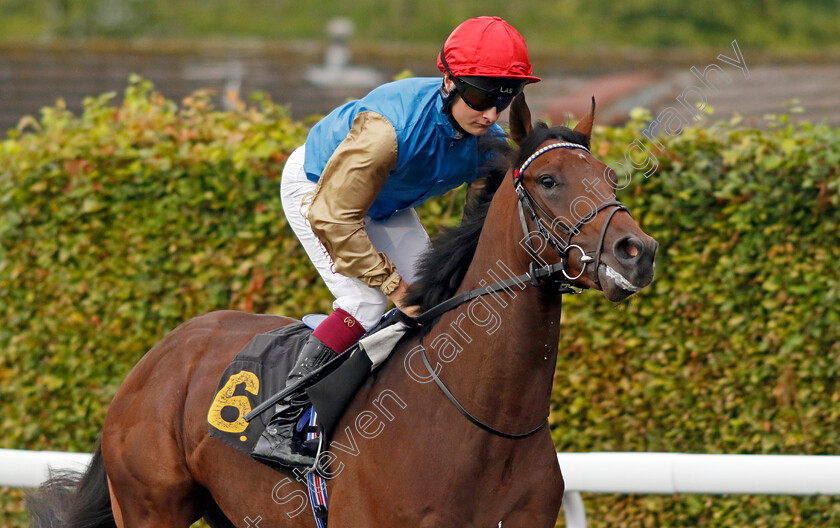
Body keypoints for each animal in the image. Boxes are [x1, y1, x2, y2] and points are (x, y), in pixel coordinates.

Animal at [29, 96, 656, 528]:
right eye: (548, 180)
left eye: (609, 178)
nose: (638, 251)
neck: (484, 423)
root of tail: (158, 355)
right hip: (149, 505)